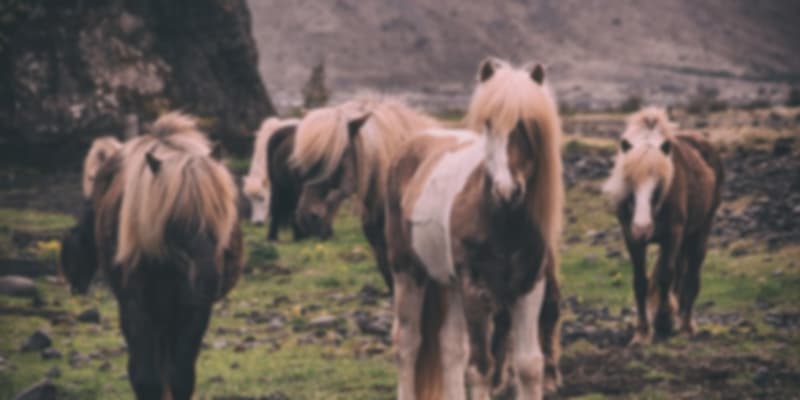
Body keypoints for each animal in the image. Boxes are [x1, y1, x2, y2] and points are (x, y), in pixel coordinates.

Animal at [60, 112, 244, 400]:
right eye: (175, 219)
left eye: (220, 212)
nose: (209, 280)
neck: (167, 265)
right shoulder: (136, 305)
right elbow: (146, 376)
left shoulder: (194, 310)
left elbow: (180, 376)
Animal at [384, 58, 564, 400]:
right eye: (490, 123)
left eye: (528, 124)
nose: (506, 191)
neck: (502, 222)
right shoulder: (476, 290)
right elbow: (481, 368)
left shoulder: (529, 287)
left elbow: (528, 366)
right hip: (409, 272)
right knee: (408, 344)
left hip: (449, 283)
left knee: (450, 348)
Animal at [603, 107, 724, 344]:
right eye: (628, 182)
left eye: (659, 184)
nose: (642, 229)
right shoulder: (631, 238)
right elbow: (640, 282)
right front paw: (642, 332)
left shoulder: (672, 235)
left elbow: (666, 277)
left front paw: (663, 322)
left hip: (700, 231)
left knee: (691, 277)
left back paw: (686, 326)